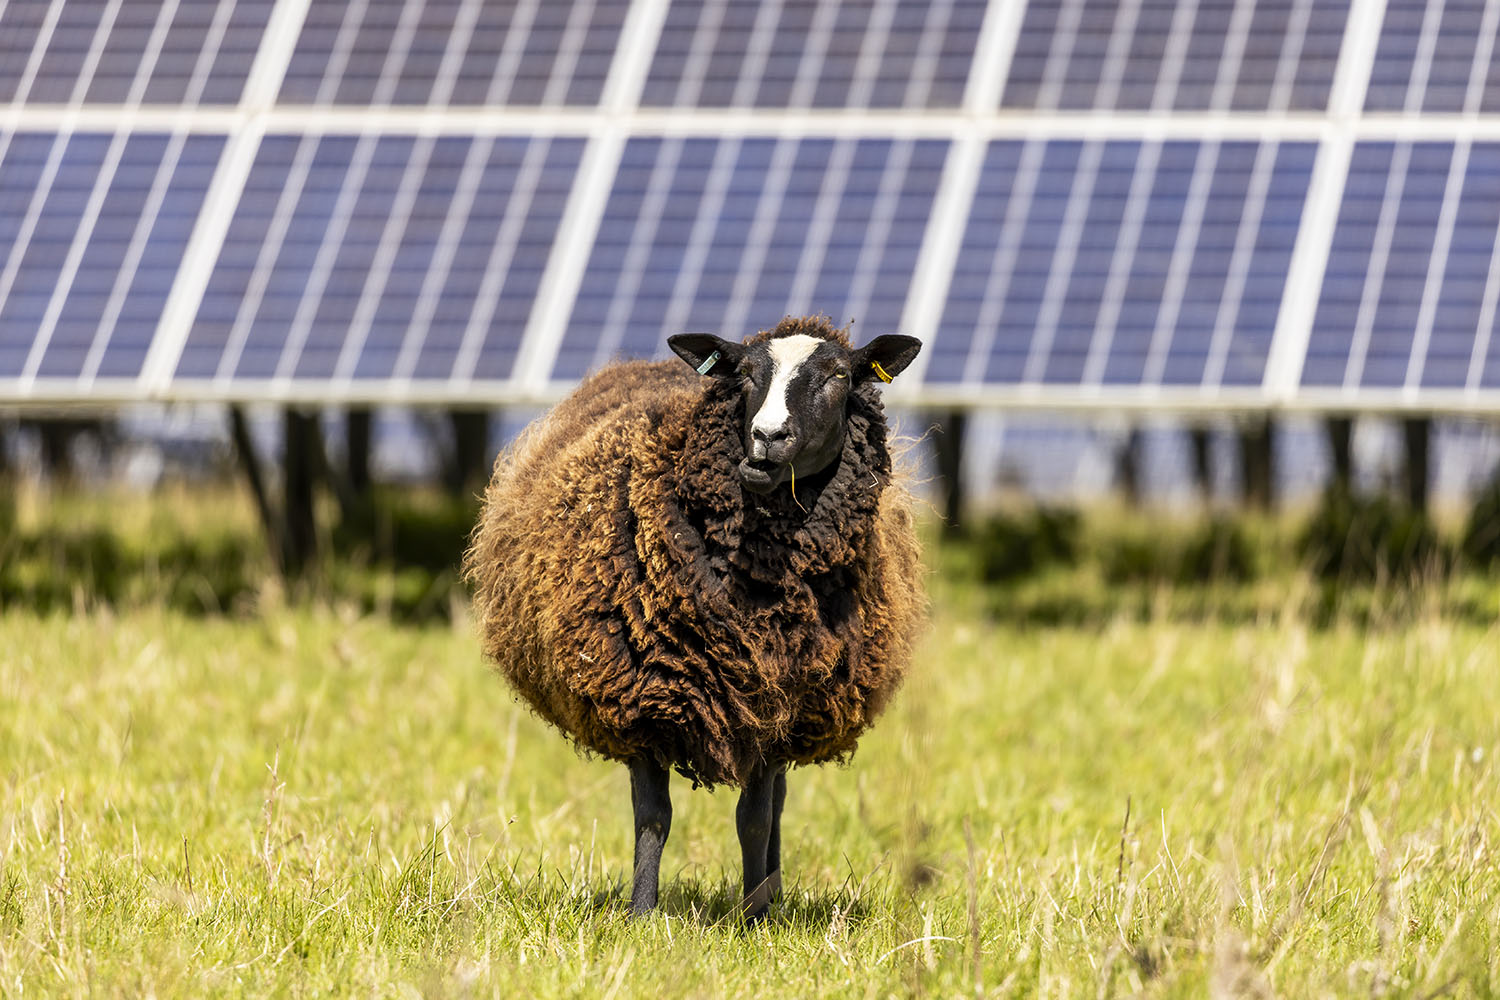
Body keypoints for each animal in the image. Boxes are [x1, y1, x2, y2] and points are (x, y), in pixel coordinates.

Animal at [462, 316, 924, 917]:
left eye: (840, 376)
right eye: (745, 373)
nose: (767, 437)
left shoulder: (775, 705)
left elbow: (754, 820)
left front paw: (754, 918)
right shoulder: (641, 694)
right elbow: (653, 818)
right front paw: (640, 914)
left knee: (776, 806)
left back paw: (771, 894)